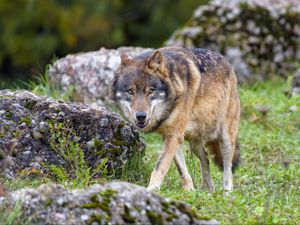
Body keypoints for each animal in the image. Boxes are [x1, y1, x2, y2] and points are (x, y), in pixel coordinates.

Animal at [111, 45, 240, 192]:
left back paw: (227, 191)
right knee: (205, 159)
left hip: (225, 138)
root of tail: (227, 62)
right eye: (130, 91)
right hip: (194, 143)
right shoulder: (171, 136)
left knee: (228, 166)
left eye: (150, 91)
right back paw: (207, 190)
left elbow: (159, 167)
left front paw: (151, 190)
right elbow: (182, 170)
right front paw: (190, 190)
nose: (141, 116)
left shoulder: (174, 135)